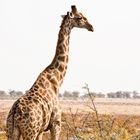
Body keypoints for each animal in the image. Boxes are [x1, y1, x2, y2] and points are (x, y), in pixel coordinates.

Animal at [6, 4, 94, 139]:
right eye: (80, 17)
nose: (91, 27)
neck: (57, 80)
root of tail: (15, 112)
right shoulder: (56, 124)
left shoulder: (41, 130)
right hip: (30, 131)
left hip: (12, 131)